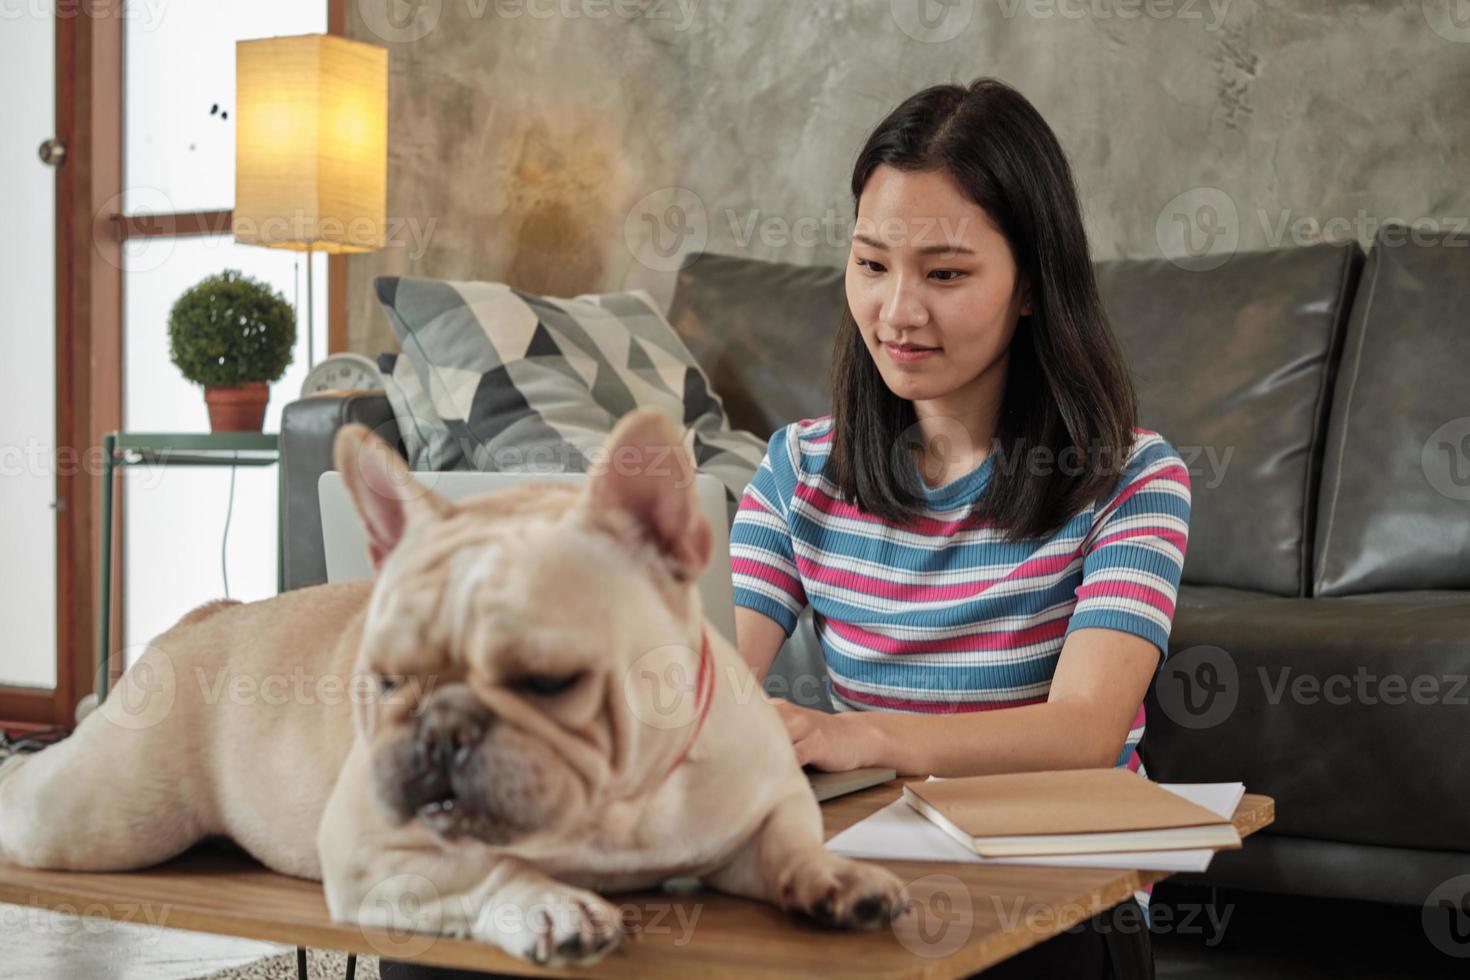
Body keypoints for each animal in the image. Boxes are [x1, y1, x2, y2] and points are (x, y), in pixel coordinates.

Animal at [0, 411, 905, 969]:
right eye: (387, 680)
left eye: (549, 681)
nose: (439, 729)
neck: (617, 808)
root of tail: (206, 617)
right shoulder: (371, 853)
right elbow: (489, 872)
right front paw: (551, 906)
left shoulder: (764, 807)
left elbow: (792, 844)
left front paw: (837, 878)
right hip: (99, 818)